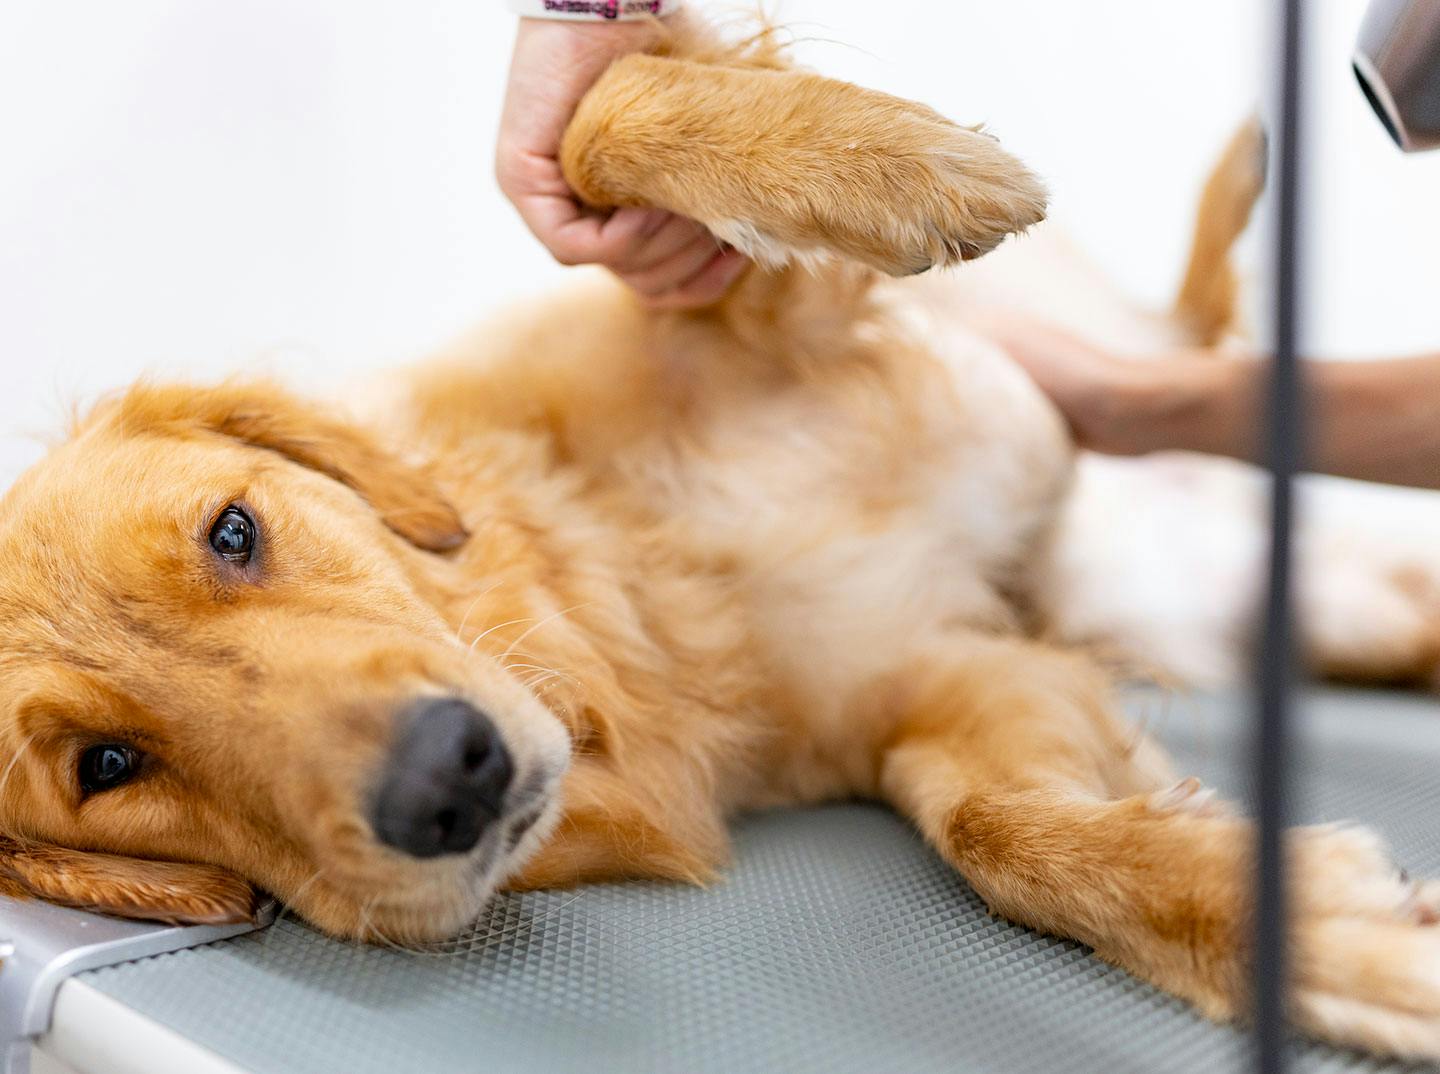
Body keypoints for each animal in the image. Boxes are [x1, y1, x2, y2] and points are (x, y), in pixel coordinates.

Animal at [2, 20, 1440, 1059]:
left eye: (234, 531)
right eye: (107, 766)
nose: (445, 780)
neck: (643, 587)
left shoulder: (755, 303)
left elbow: (609, 116)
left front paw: (916, 167)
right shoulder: (951, 678)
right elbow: (1005, 835)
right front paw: (1335, 936)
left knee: (1190, 320)